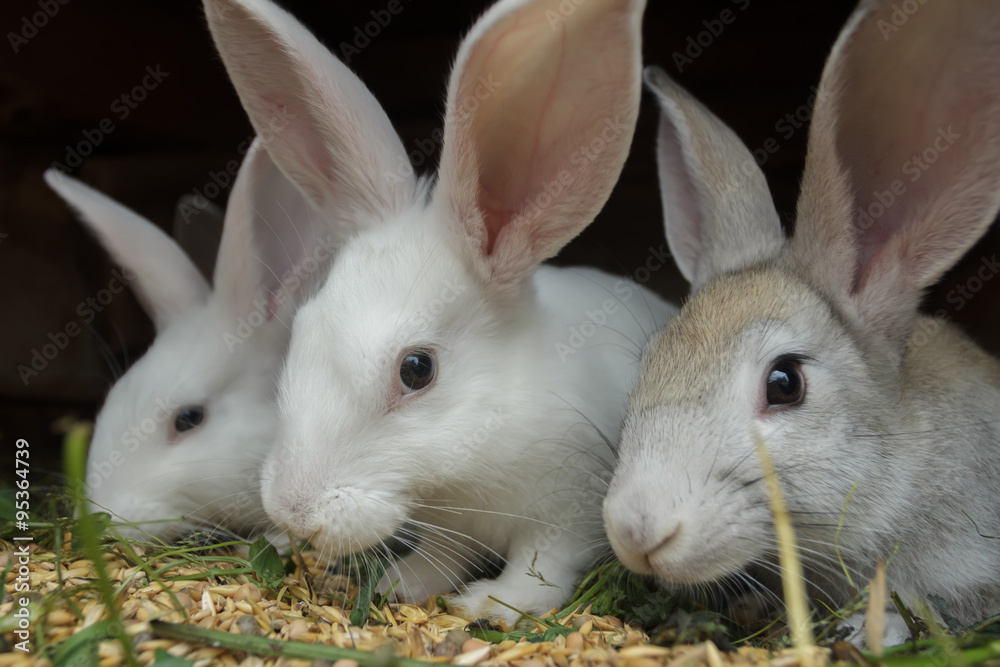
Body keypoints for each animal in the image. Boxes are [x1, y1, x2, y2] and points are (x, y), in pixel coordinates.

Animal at [203, 0, 676, 623]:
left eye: (417, 369)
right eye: (299, 337)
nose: (293, 510)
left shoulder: (569, 512)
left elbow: (543, 567)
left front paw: (491, 604)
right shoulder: (448, 524)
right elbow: (439, 558)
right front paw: (402, 584)